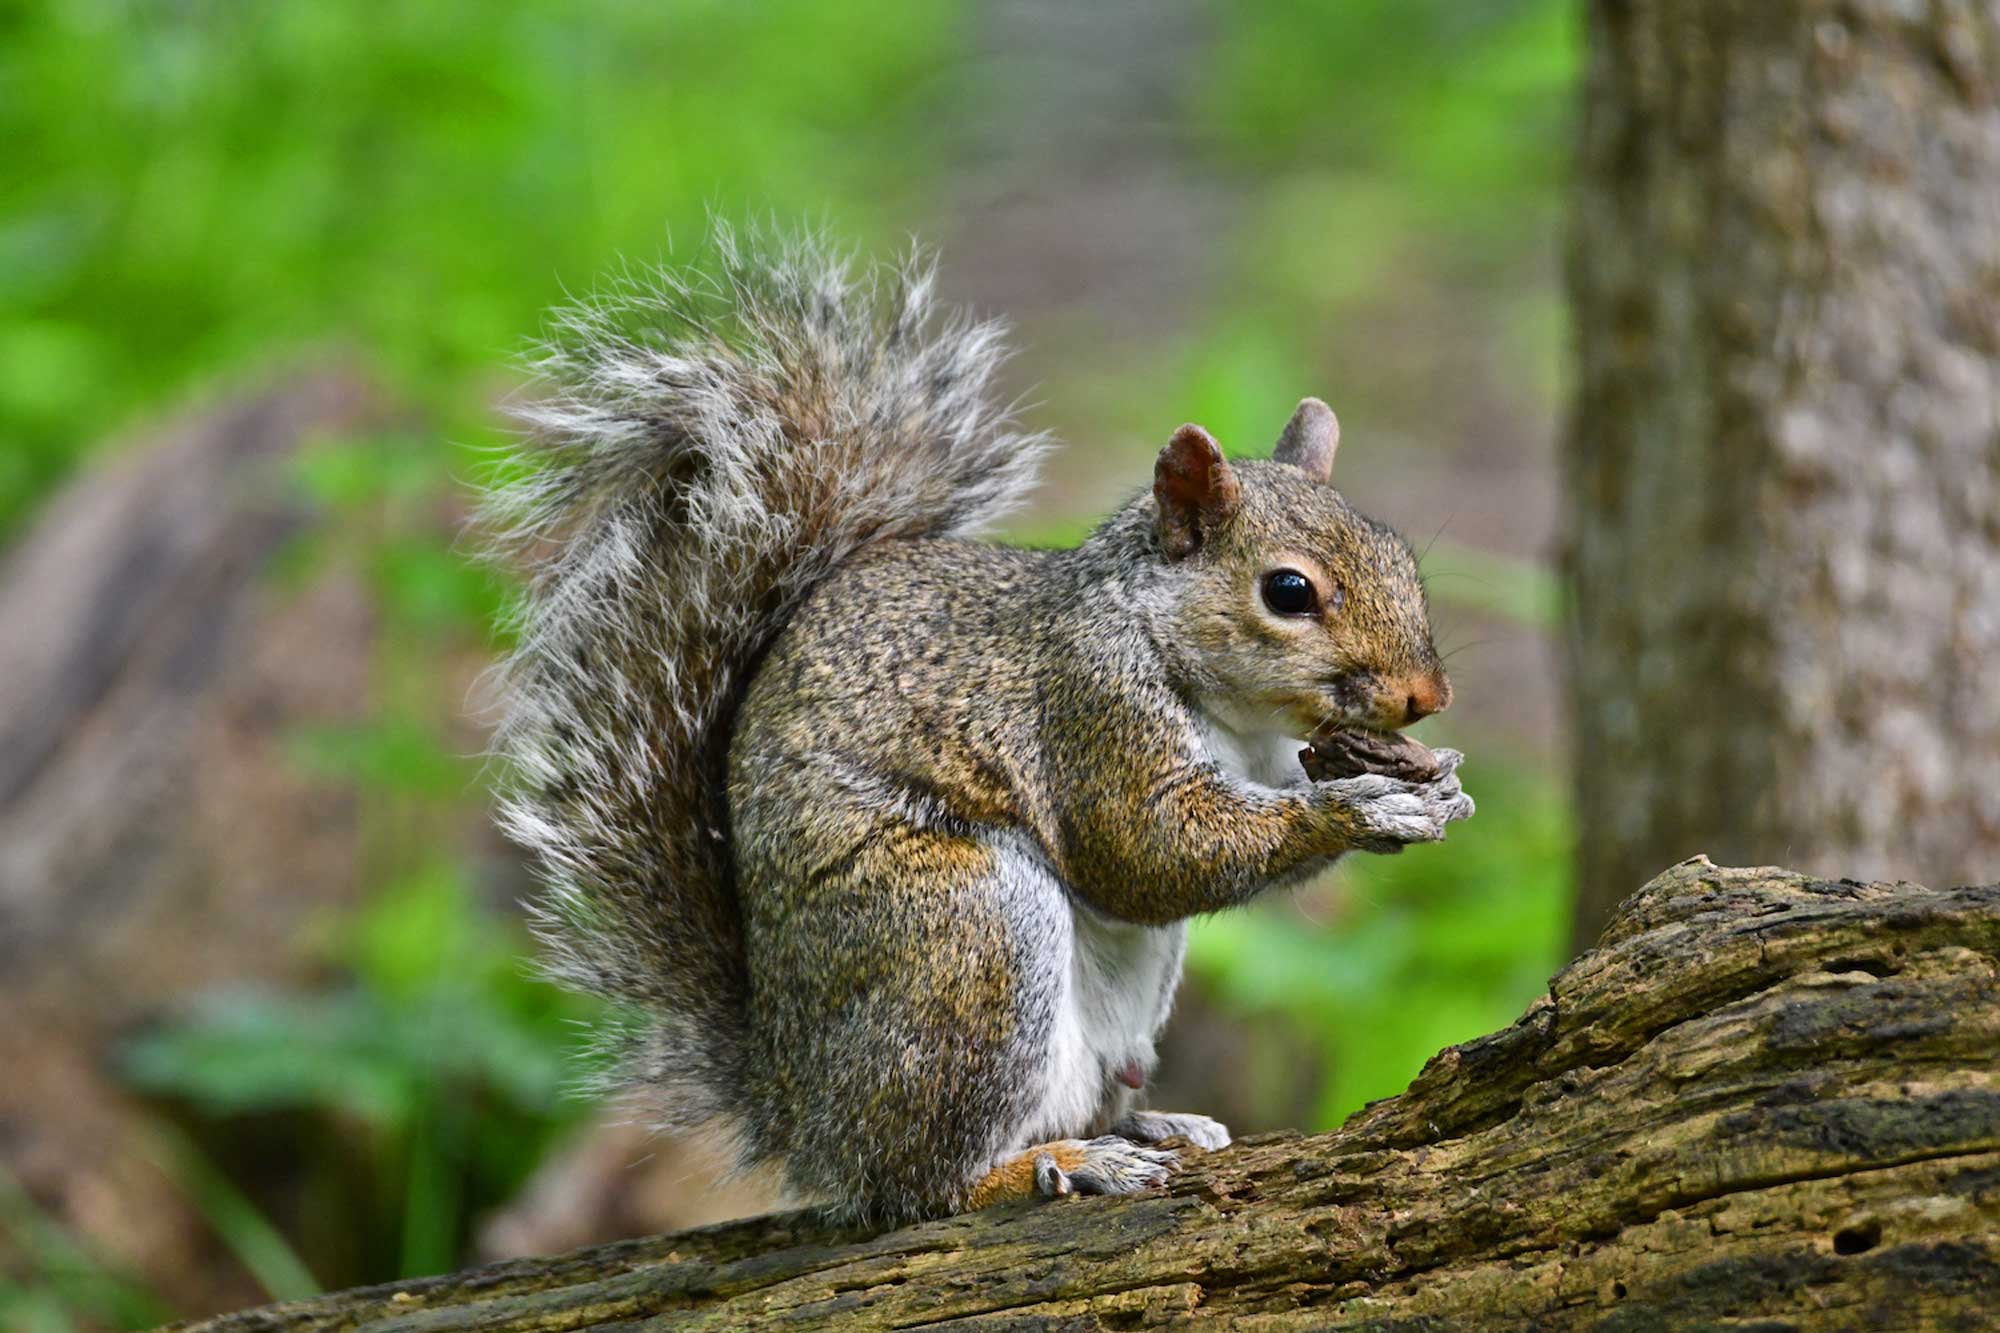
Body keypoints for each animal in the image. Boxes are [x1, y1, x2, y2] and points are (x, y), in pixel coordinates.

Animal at [486, 227, 1473, 1225]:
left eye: (1398, 553)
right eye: (1289, 591)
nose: (1427, 696)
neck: (1225, 701)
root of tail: (801, 1111)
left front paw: (1434, 785)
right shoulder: (1089, 709)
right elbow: (1147, 851)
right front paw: (1360, 809)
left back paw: (1146, 1125)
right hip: (967, 936)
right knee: (922, 1184)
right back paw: (1059, 1163)